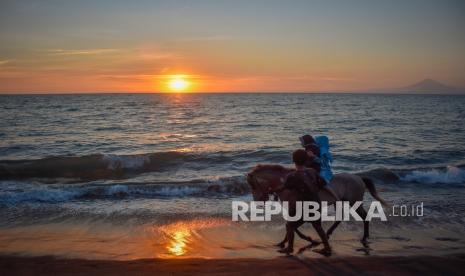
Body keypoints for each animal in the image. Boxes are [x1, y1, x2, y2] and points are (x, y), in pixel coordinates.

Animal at [246, 165, 388, 251]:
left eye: (252, 185)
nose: (259, 201)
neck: (287, 186)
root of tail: (359, 178)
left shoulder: (297, 211)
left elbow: (291, 226)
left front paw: (307, 240)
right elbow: (290, 226)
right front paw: (285, 242)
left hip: (354, 202)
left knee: (365, 217)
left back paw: (364, 237)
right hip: (340, 202)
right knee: (340, 218)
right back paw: (328, 234)